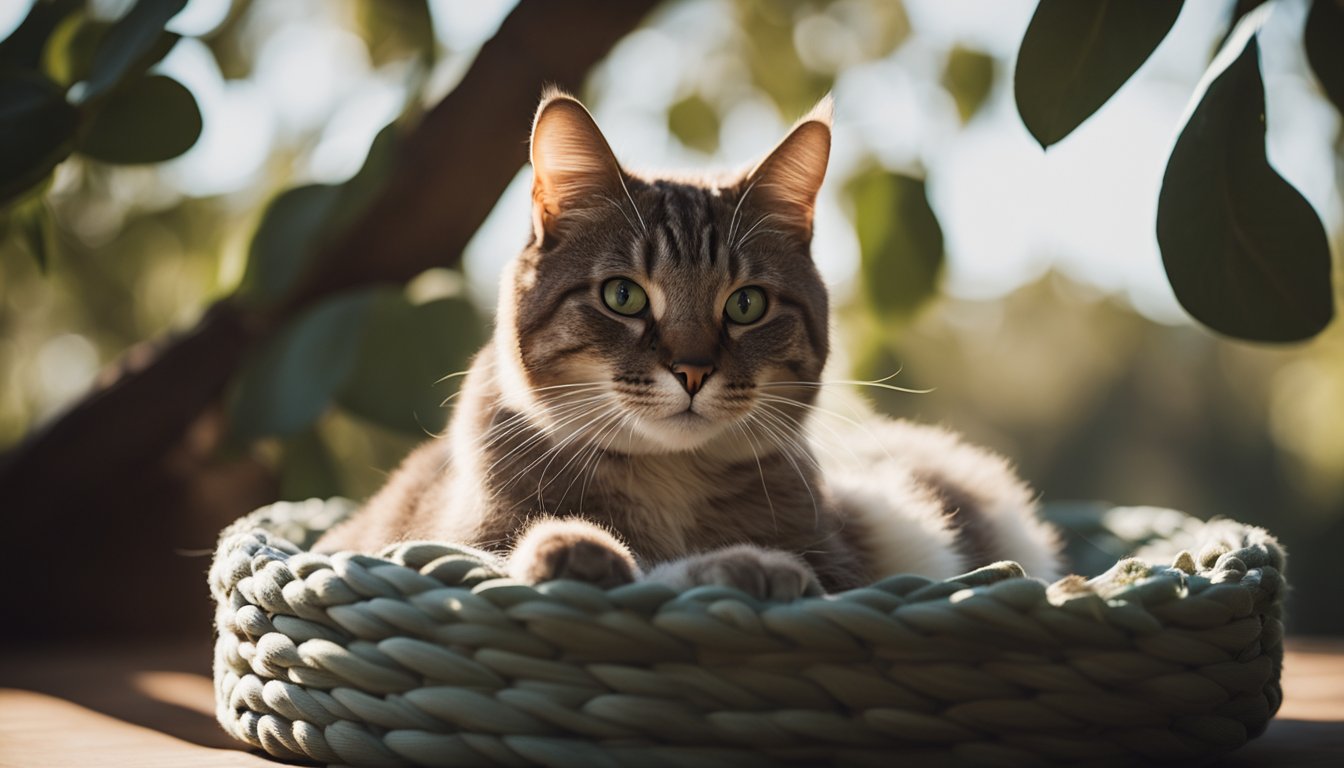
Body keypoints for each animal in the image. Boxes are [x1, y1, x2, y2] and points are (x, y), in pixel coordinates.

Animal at [314, 88, 1059, 594]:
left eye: (746, 304)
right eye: (623, 296)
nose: (694, 370)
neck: (666, 479)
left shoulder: (838, 567)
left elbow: (693, 570)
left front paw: (738, 566)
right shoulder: (452, 540)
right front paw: (578, 548)